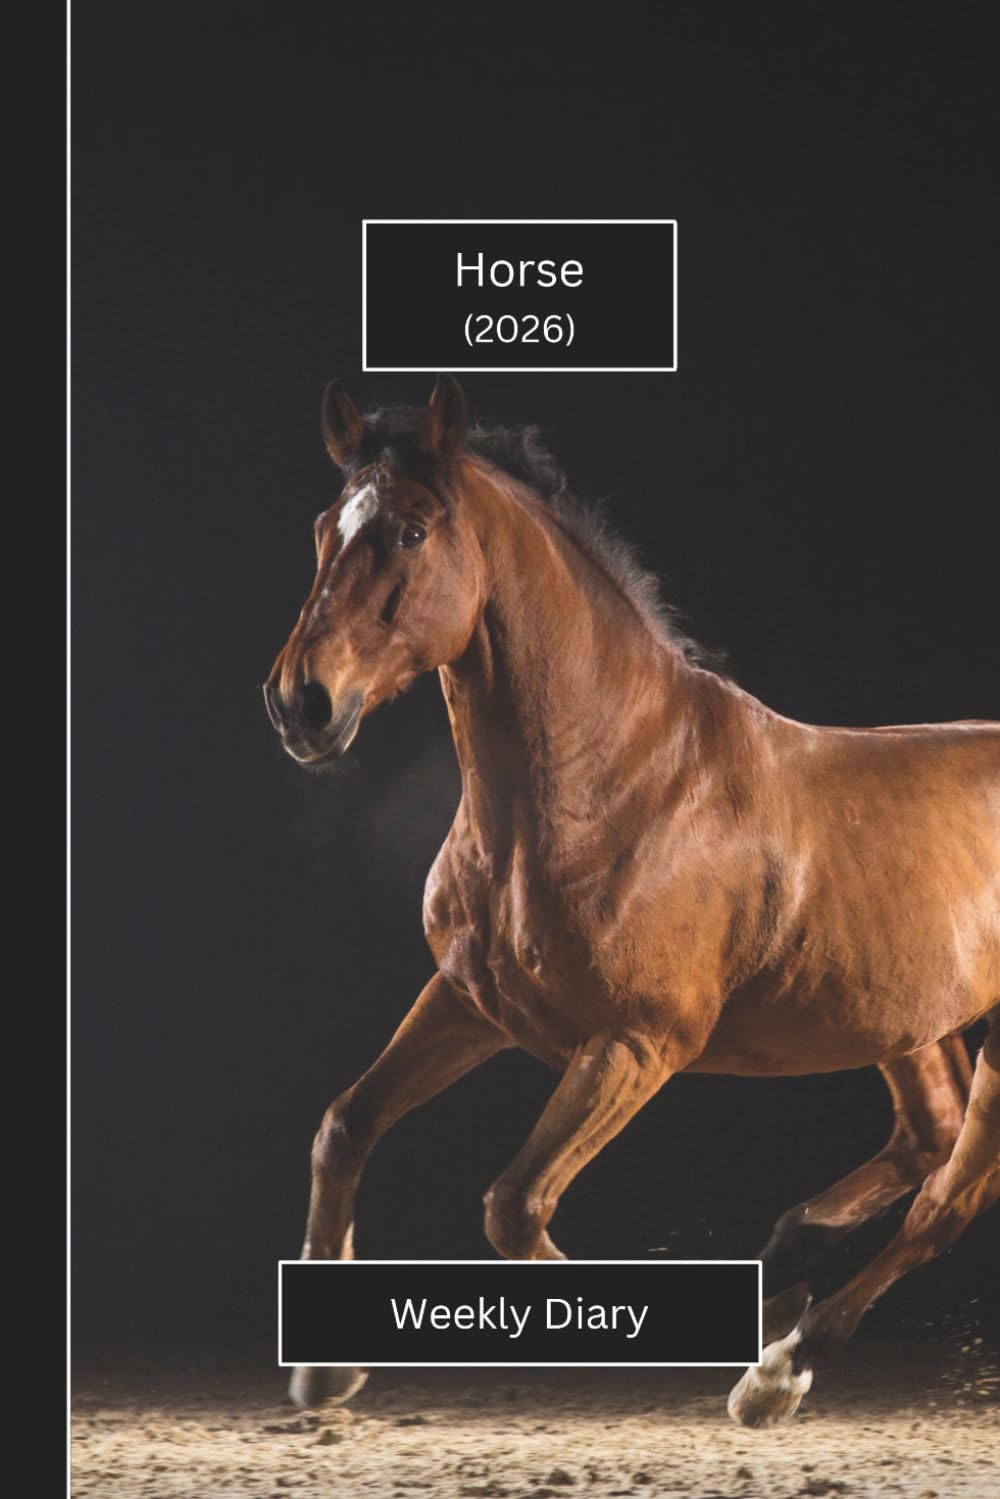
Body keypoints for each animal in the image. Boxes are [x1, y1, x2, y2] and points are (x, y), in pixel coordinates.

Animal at [263, 375, 1000, 1425]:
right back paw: (784, 1275)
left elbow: (515, 1204)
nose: (302, 704)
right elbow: (344, 1124)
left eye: (408, 531)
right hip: (903, 1019)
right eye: (327, 528)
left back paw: (778, 1365)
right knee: (929, 1137)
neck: (617, 782)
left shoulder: (637, 1044)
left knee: (950, 1198)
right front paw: (326, 1371)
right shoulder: (469, 1001)